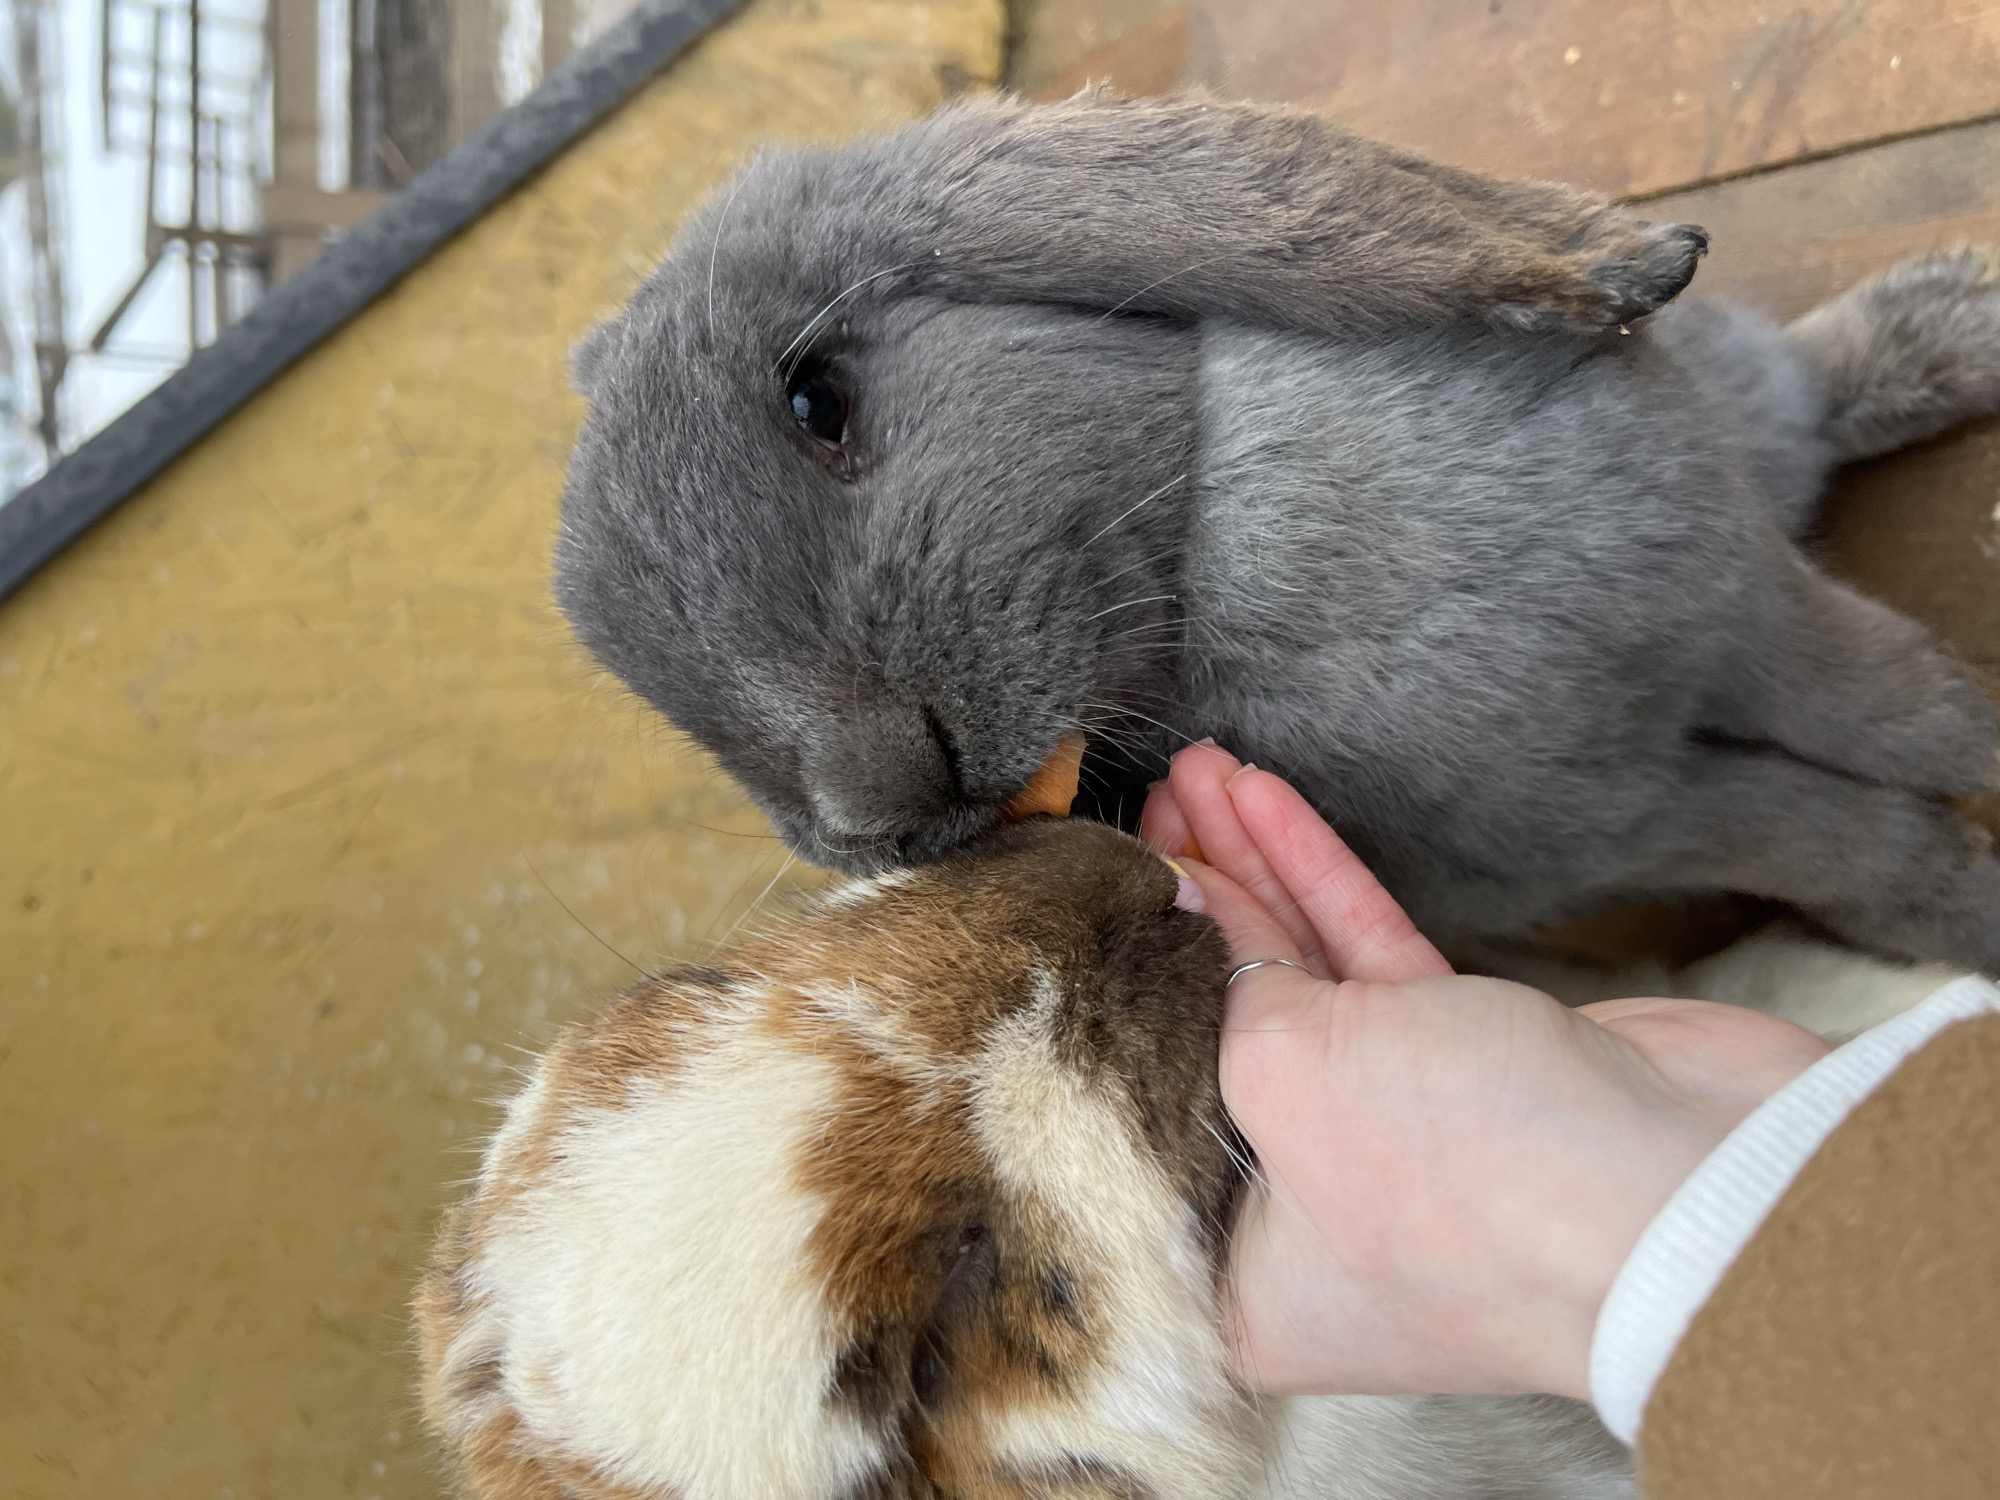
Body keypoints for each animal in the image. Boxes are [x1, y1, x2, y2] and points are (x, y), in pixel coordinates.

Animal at [552, 90, 2000, 969]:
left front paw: (1980, 808)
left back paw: (1957, 314)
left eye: (819, 399)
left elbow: (1903, 711)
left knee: (1811, 395)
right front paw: (1965, 910)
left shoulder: (1734, 602)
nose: (884, 811)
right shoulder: (1609, 820)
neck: (1218, 529)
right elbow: (1838, 831)